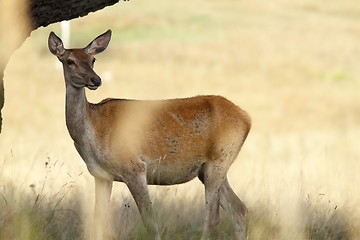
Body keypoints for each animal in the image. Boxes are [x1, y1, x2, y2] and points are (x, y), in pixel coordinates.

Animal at [47, 30, 250, 240]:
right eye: (70, 61)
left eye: (93, 59)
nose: (95, 80)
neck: (93, 135)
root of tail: (247, 118)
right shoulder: (101, 175)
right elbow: (98, 220)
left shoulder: (134, 168)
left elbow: (150, 222)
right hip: (211, 168)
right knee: (239, 210)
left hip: (219, 159)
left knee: (214, 217)